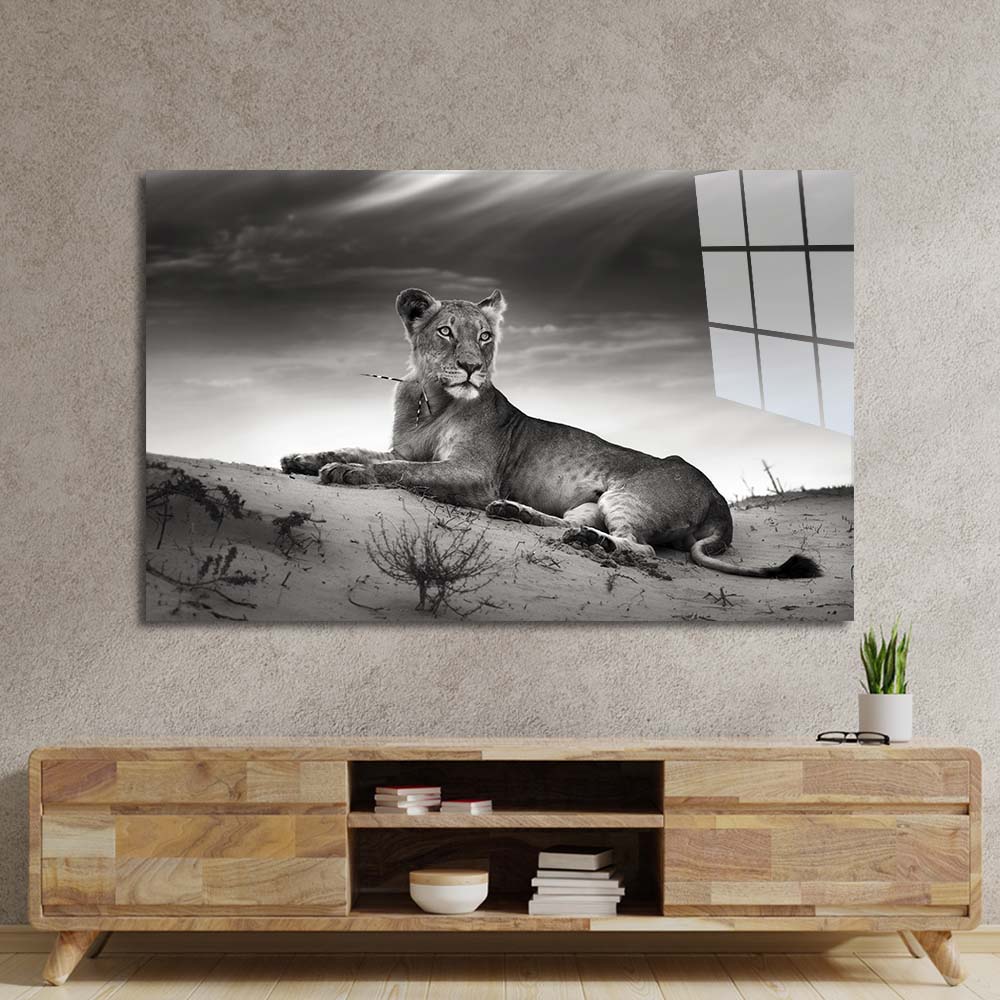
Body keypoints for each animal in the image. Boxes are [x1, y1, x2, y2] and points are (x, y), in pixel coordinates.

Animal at [281, 288, 821, 578]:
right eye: (445, 331)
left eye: (485, 336)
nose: (472, 368)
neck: (431, 400)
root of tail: (720, 502)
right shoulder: (405, 447)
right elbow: (365, 450)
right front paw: (303, 459)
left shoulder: (474, 474)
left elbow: (400, 471)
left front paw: (347, 473)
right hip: (590, 502)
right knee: (569, 523)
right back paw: (520, 515)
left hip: (629, 494)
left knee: (639, 548)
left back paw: (588, 542)